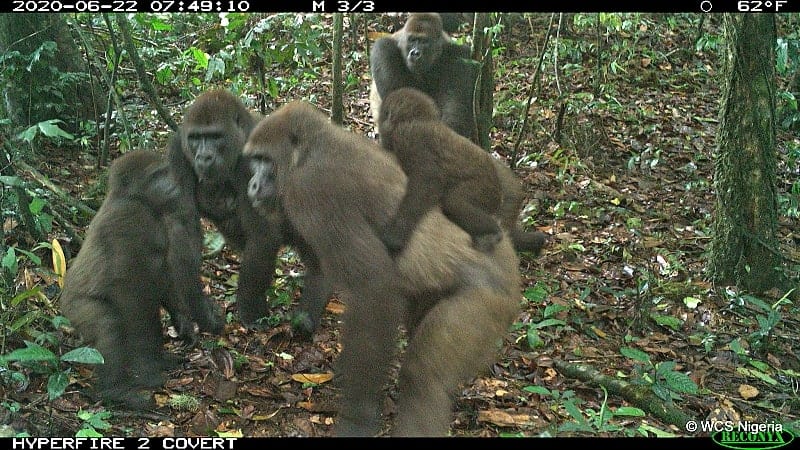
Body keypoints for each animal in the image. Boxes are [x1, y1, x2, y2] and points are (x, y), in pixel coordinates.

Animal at [59, 150, 223, 408]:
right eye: (157, 175)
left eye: (166, 171)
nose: (175, 184)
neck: (137, 198)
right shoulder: (131, 218)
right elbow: (128, 293)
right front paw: (149, 369)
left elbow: (165, 276)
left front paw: (183, 323)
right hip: (76, 308)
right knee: (110, 324)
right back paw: (115, 390)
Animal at [169, 90, 328, 334]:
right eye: (196, 137)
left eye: (215, 136)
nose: (204, 157)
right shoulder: (178, 150)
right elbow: (183, 227)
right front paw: (201, 310)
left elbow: (262, 235)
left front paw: (250, 310)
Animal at [380, 88, 500, 255]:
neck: (419, 118)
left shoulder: (409, 137)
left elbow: (429, 180)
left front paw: (396, 234)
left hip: (486, 188)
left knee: (454, 202)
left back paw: (493, 231)